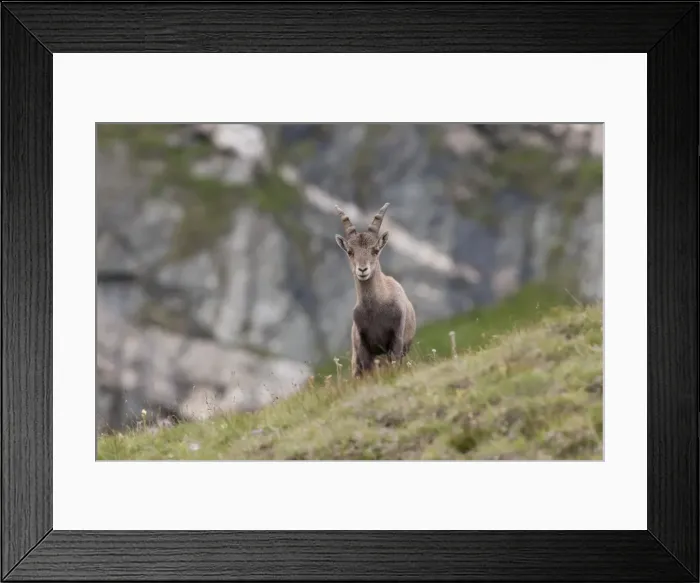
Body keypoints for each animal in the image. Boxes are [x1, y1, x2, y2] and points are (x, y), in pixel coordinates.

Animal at [334, 202, 417, 378]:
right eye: (350, 252)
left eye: (375, 250)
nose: (362, 270)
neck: (375, 309)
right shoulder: (363, 344)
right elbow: (368, 369)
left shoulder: (396, 338)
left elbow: (394, 361)